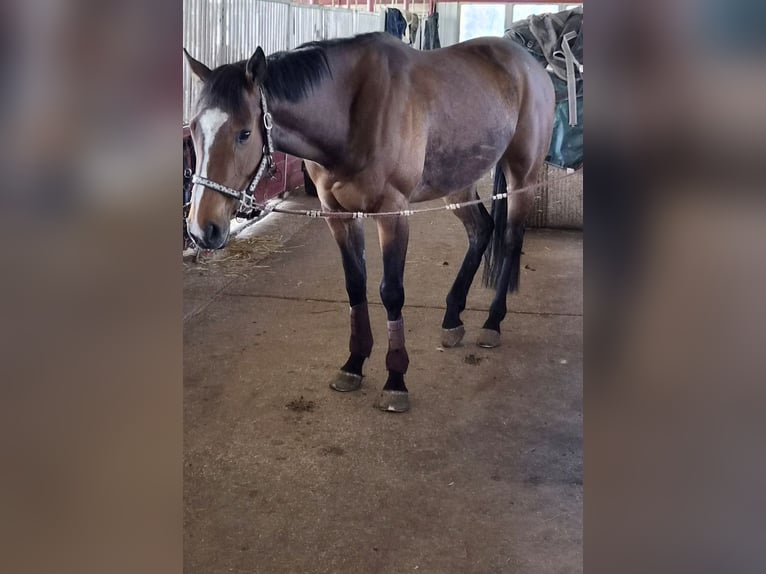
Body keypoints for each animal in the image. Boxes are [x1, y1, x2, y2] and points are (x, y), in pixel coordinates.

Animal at [184, 32, 554, 413]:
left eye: (244, 133)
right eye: (194, 128)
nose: (201, 228)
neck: (350, 113)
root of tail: (530, 64)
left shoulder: (393, 214)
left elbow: (391, 293)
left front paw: (395, 380)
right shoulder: (338, 215)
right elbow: (355, 285)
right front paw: (354, 364)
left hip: (522, 176)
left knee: (510, 240)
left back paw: (493, 323)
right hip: (458, 183)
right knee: (480, 230)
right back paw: (453, 319)